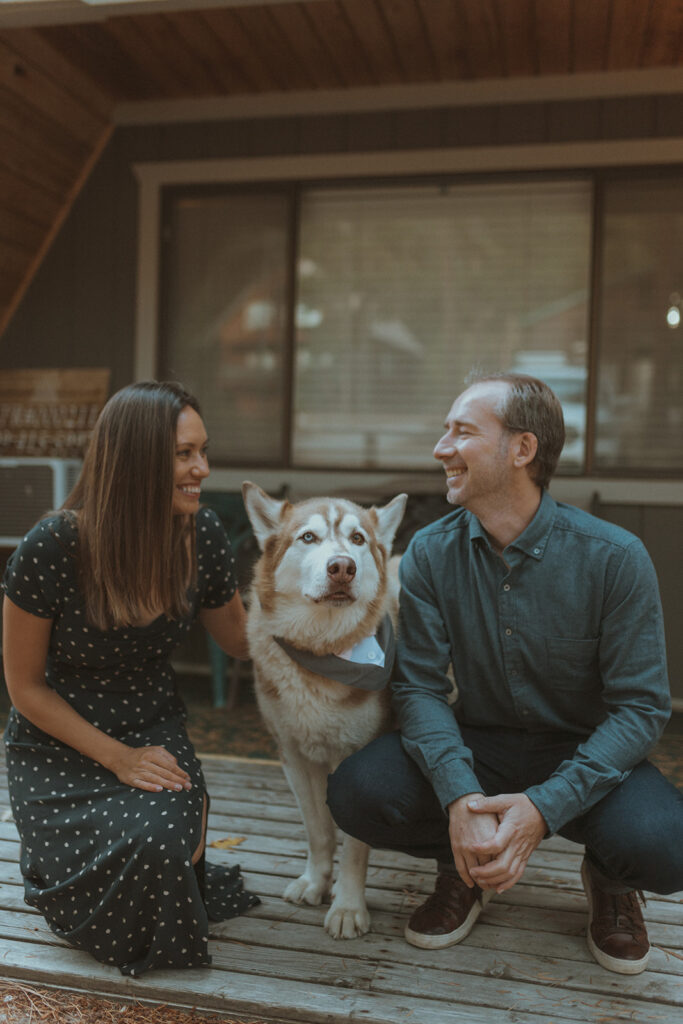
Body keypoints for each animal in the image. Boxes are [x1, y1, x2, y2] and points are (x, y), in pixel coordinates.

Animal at [240, 483, 405, 937]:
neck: (322, 649)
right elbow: (318, 831)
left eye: (358, 539)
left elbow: (353, 847)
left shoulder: (355, 759)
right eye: (308, 537)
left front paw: (348, 906)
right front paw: (316, 882)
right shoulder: (295, 756)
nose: (342, 567)